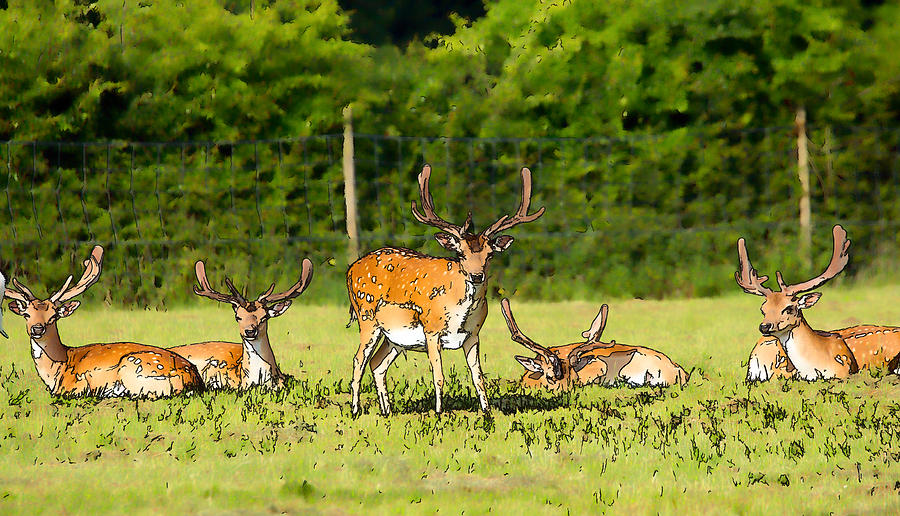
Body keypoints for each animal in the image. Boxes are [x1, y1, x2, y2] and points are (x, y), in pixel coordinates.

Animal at [4, 246, 204, 400]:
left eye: (53, 316)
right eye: (27, 314)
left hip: (132, 368)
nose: (37, 328)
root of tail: (192, 379)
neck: (56, 371)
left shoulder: (75, 386)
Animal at [344, 165, 540, 416]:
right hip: (366, 317)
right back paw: (355, 410)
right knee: (358, 360)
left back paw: (387, 411)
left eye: (490, 255)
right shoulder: (431, 330)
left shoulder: (473, 334)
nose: (477, 276)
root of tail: (351, 269)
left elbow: (478, 378)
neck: (458, 313)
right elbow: (439, 376)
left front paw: (486, 412)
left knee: (377, 364)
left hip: (394, 337)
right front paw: (438, 413)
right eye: (461, 253)